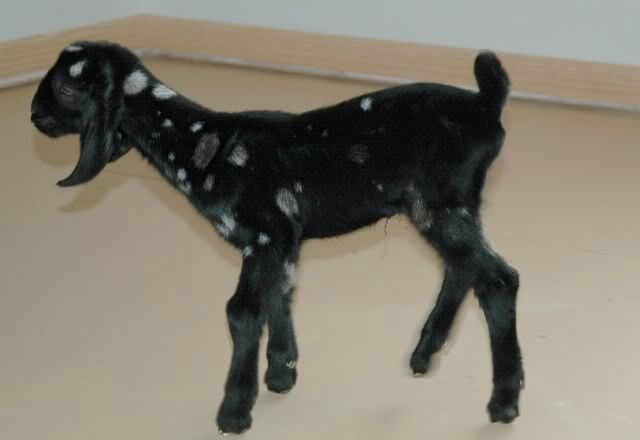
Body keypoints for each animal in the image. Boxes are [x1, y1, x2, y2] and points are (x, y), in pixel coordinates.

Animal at [31, 41, 524, 434]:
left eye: (68, 89)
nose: (35, 116)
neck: (205, 147)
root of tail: (486, 104)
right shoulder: (284, 242)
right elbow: (280, 294)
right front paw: (282, 371)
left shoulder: (266, 235)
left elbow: (242, 310)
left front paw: (234, 411)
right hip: (445, 208)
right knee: (463, 268)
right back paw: (425, 353)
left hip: (440, 206)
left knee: (499, 279)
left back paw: (503, 401)